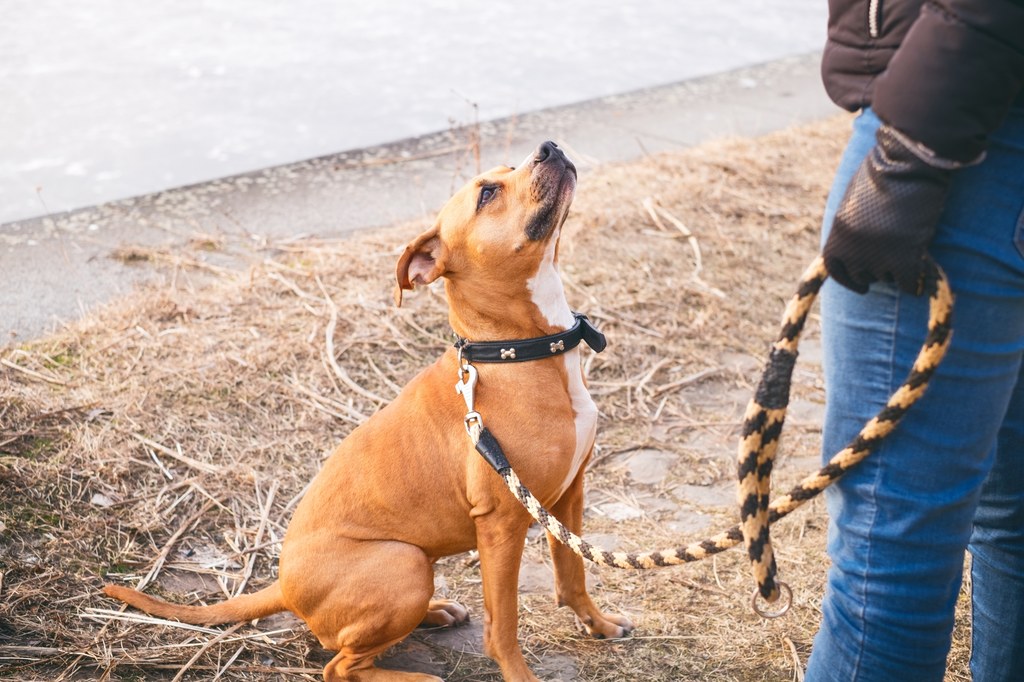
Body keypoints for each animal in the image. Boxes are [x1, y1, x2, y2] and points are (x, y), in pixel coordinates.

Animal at [103, 140, 630, 675]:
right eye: (487, 193)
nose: (549, 146)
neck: (514, 350)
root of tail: (284, 586)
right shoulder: (502, 523)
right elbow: (503, 624)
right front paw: (520, 674)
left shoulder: (568, 496)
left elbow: (573, 573)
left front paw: (598, 624)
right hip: (403, 565)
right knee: (338, 666)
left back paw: (436, 612)